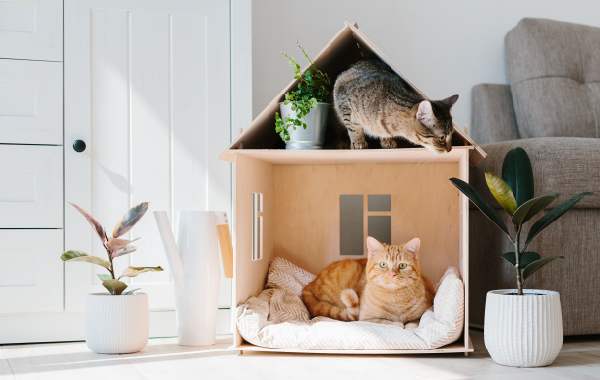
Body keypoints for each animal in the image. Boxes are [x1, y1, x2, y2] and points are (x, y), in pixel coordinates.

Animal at [302, 236, 434, 322]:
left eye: (402, 265)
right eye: (383, 264)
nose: (392, 274)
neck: (395, 298)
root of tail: (309, 284)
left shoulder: (419, 316)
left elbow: (412, 322)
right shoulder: (368, 318)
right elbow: (388, 321)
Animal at [332, 59, 460, 151]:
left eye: (452, 134)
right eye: (442, 138)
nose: (450, 149)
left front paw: (387, 140)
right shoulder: (344, 99)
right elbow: (353, 127)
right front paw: (358, 141)